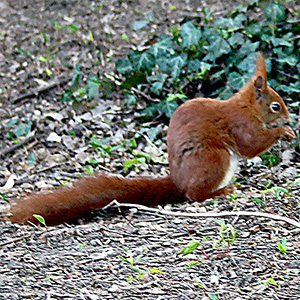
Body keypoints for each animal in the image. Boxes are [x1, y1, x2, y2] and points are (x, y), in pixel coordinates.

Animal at [8, 54, 296, 225]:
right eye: (275, 106)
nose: (290, 120)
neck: (247, 108)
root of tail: (177, 181)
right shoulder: (240, 124)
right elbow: (251, 144)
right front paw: (283, 133)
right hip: (214, 158)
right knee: (194, 195)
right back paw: (221, 191)